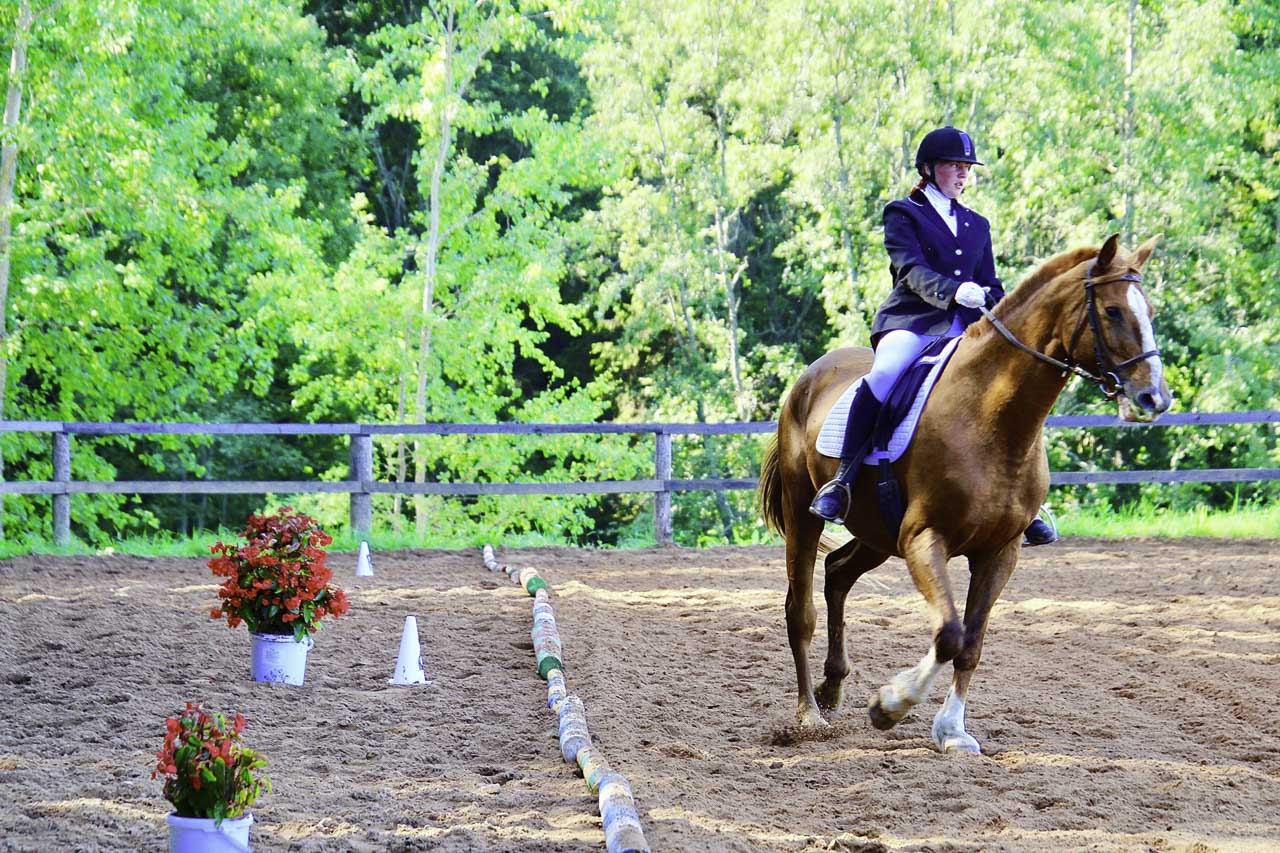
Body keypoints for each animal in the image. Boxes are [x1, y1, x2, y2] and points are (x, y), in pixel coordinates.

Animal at [757, 233, 1172, 753]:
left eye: (1150, 310)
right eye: (1113, 311)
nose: (1154, 398)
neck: (993, 421)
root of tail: (810, 376)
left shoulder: (1000, 550)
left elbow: (971, 643)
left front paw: (952, 730)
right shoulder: (924, 539)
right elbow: (950, 634)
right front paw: (890, 705)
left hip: (876, 534)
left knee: (837, 574)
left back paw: (832, 688)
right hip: (804, 513)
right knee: (801, 610)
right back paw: (810, 715)